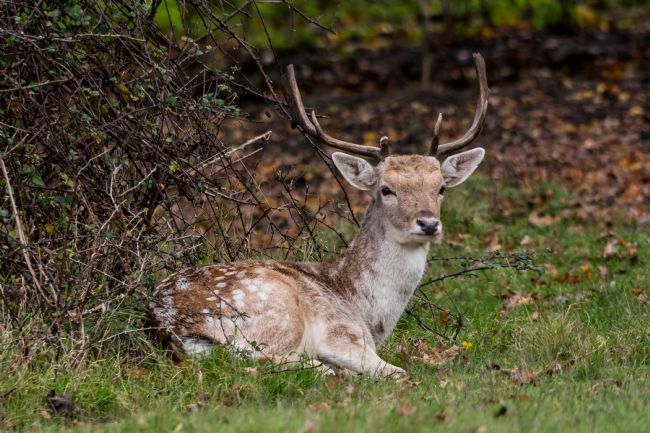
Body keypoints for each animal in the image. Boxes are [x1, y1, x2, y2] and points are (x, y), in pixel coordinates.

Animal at [149, 53, 489, 377]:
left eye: (441, 187)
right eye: (386, 189)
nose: (429, 223)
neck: (365, 311)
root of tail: (169, 325)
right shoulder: (339, 333)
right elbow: (397, 371)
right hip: (275, 310)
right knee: (268, 360)